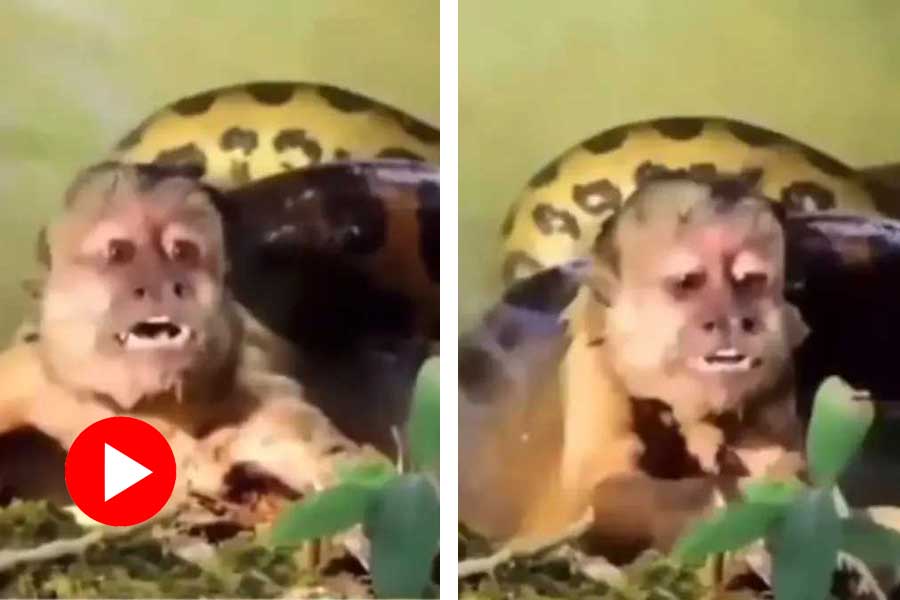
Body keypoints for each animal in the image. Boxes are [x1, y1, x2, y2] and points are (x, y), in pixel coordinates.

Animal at [460, 174, 809, 555]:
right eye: (688, 283)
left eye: (751, 281)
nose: (732, 319)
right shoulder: (592, 367)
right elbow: (600, 487)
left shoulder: (776, 374)